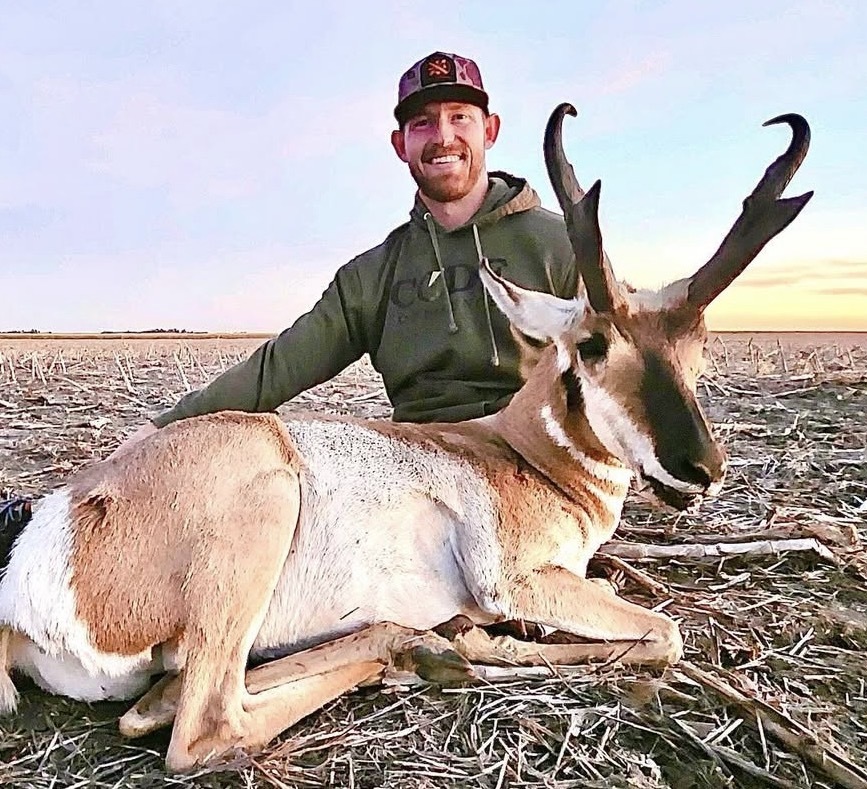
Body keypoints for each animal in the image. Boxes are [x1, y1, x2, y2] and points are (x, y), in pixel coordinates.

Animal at [0, 104, 811, 773]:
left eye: (697, 346)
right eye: (591, 344)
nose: (701, 467)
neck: (520, 454)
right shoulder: (518, 578)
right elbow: (662, 633)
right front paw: (487, 640)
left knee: (163, 703)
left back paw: (417, 645)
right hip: (264, 502)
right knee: (201, 723)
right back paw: (425, 647)